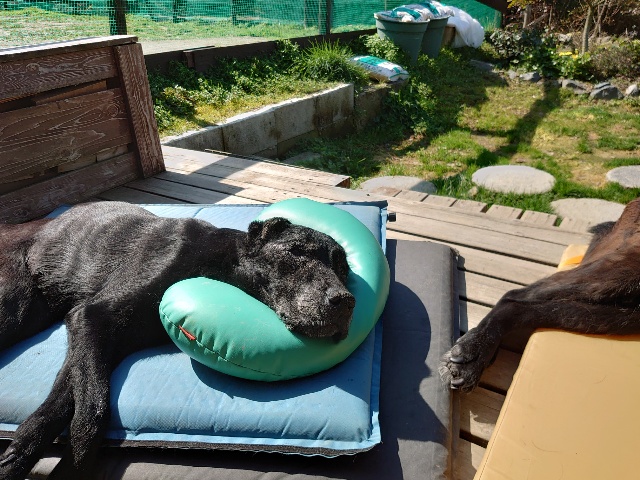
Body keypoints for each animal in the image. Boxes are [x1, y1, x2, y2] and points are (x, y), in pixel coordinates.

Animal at [0, 201, 355, 480]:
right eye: (296, 251)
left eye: (343, 268)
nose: (346, 301)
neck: (225, 263)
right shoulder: (93, 317)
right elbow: (93, 409)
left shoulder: (95, 336)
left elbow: (66, 397)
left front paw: (24, 454)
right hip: (13, 309)